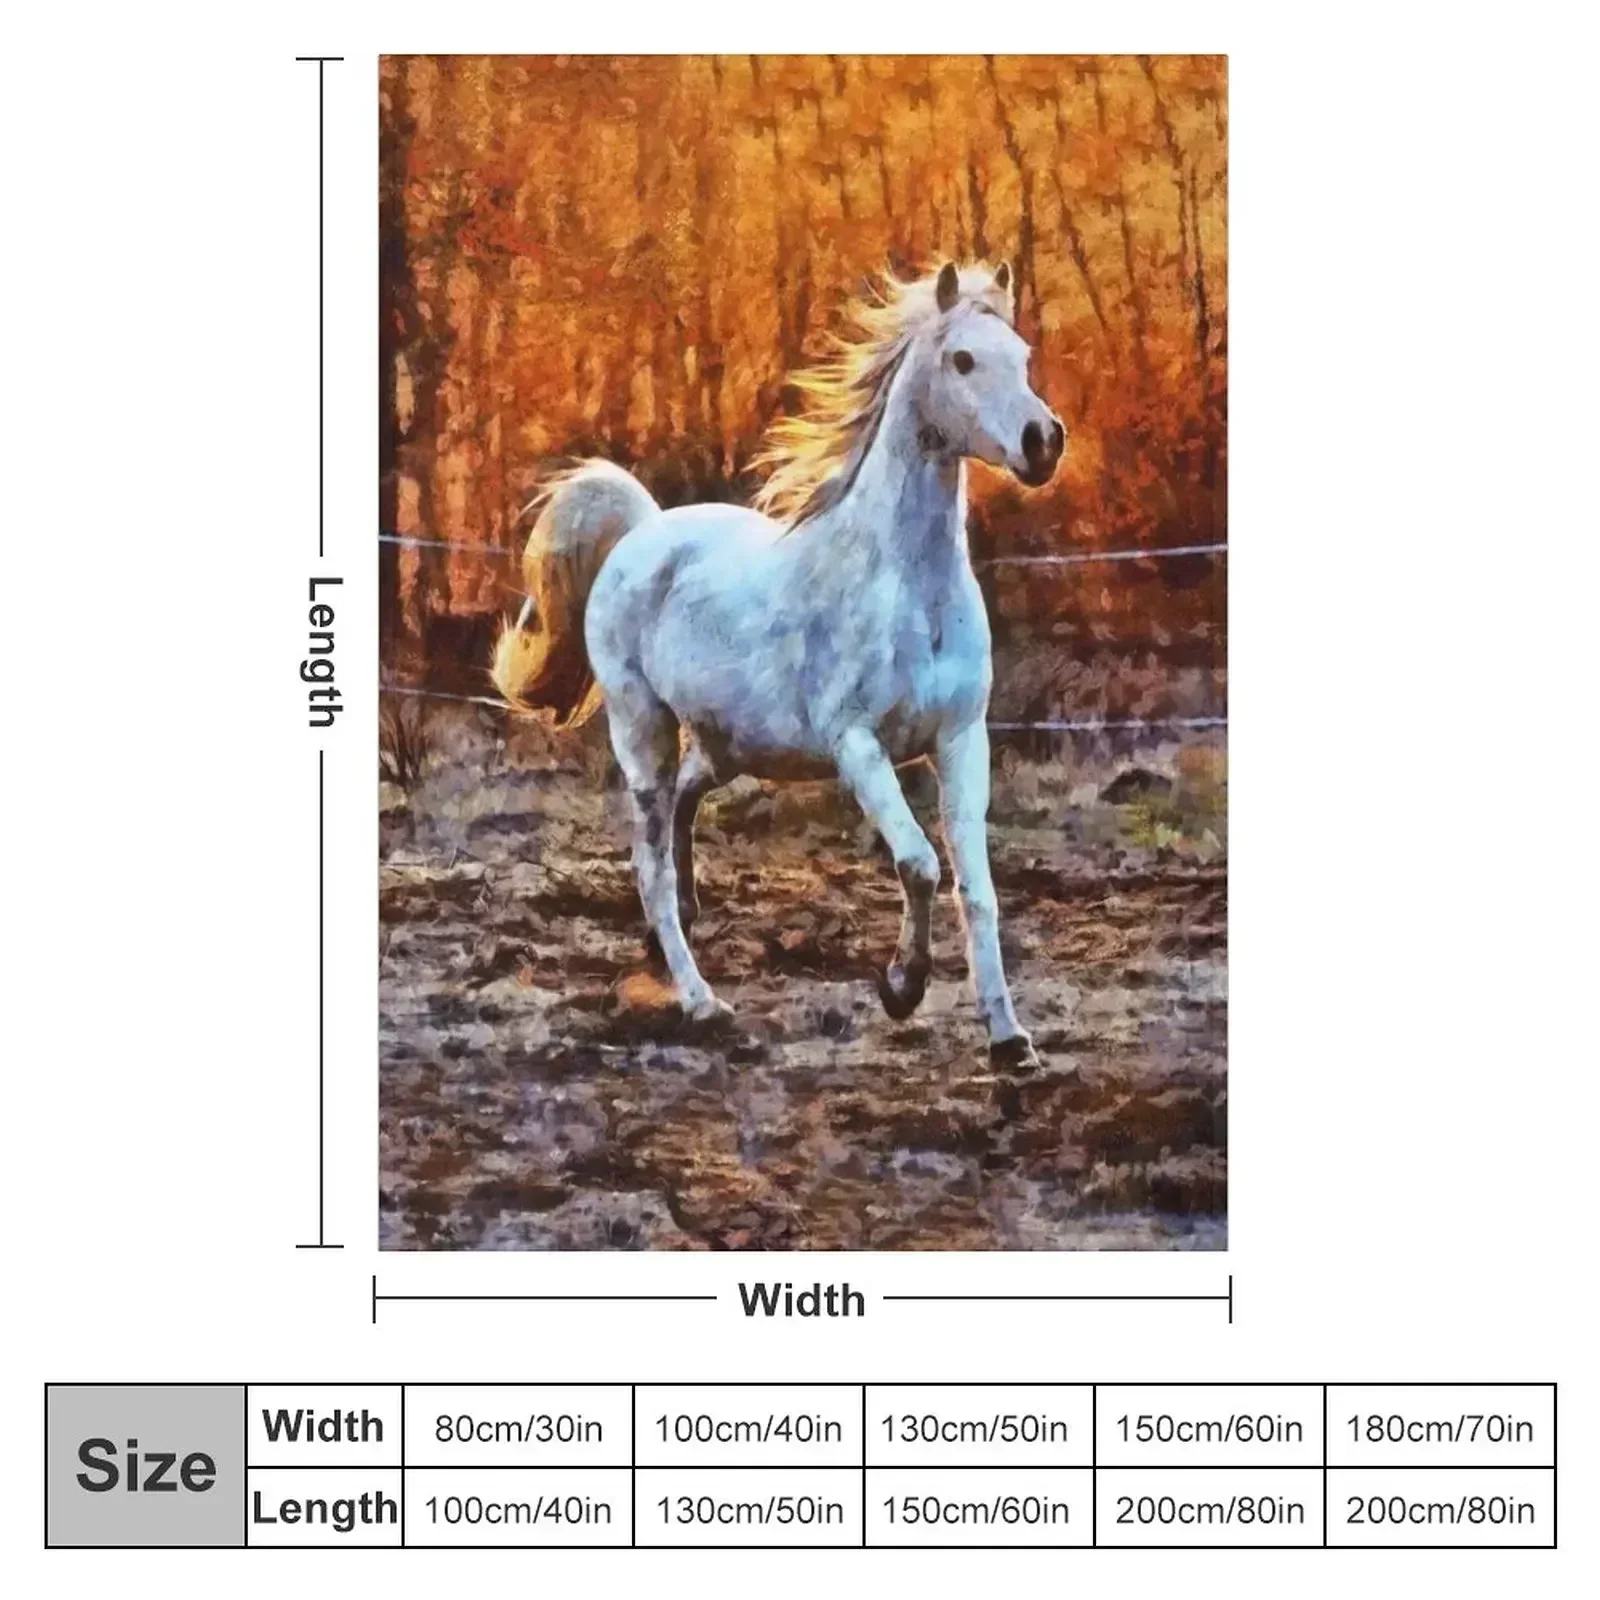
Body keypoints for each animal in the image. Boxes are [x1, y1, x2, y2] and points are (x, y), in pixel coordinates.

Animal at [491, 261, 1064, 1067]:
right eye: (962, 360)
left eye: (1022, 357)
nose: (1044, 443)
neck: (905, 585)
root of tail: (641, 532)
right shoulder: (858, 746)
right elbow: (919, 863)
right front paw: (901, 987)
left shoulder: (960, 739)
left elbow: (975, 888)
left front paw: (1011, 1041)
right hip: (643, 731)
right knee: (650, 865)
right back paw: (702, 1001)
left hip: (731, 745)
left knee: (684, 809)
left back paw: (678, 935)